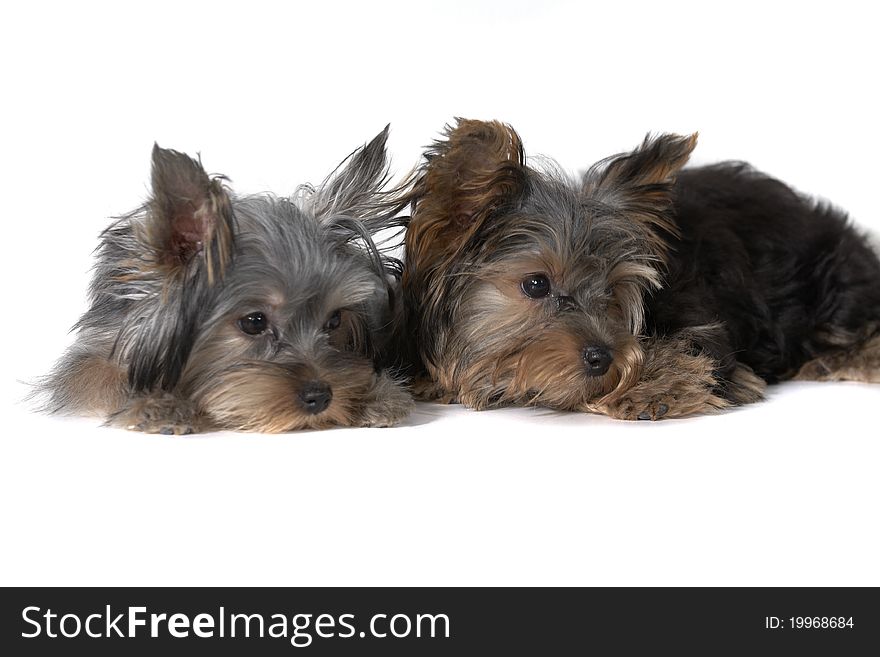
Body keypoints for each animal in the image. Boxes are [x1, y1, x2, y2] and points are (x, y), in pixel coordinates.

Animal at [38, 126, 416, 434]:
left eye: (335, 320)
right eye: (254, 322)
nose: (320, 396)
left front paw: (374, 395)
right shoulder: (93, 353)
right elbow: (102, 375)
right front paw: (159, 402)